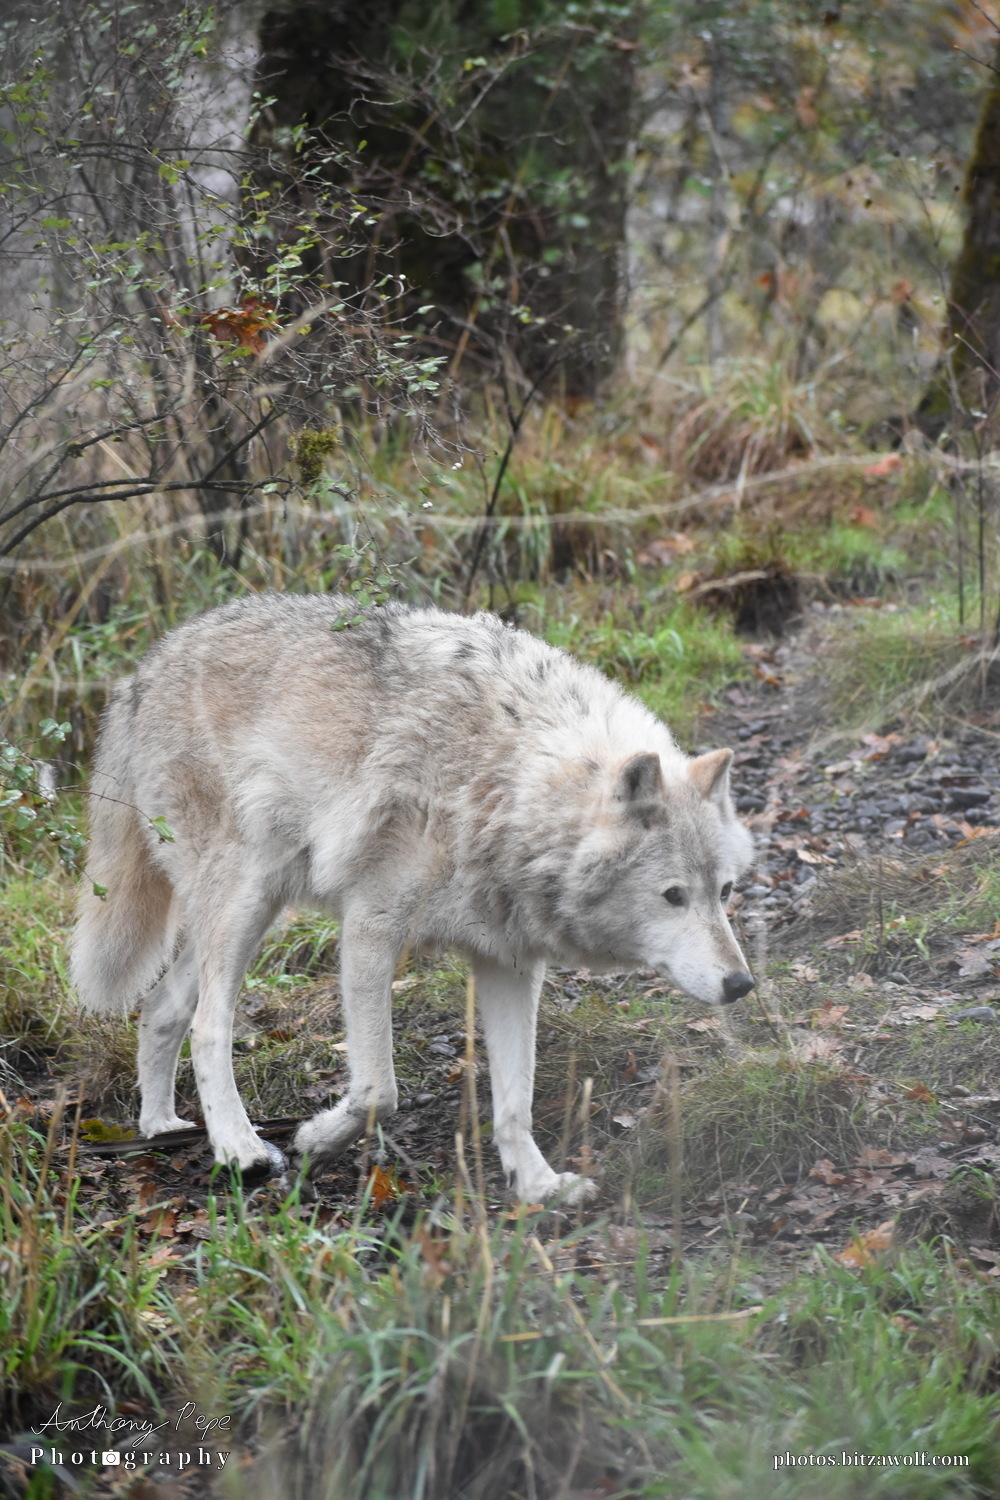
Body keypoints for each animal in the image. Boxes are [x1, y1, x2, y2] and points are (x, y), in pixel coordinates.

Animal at [70, 593, 755, 1204]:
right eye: (672, 895)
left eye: (723, 892)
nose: (741, 984)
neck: (502, 780)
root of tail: (141, 671)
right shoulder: (371, 926)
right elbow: (380, 1090)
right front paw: (316, 1138)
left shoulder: (509, 962)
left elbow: (516, 1099)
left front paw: (537, 1187)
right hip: (246, 897)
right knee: (209, 1025)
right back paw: (240, 1149)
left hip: (252, 910)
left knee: (163, 1007)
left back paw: (162, 1127)